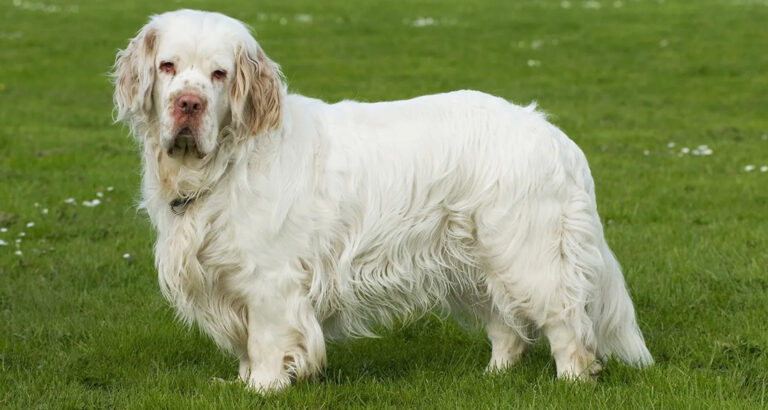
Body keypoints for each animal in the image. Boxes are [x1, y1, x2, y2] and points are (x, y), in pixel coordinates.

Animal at [112, 8, 656, 394]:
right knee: (507, 329)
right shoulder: (228, 278)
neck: (226, 162)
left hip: (529, 255)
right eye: (168, 67)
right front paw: (242, 383)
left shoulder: (270, 280)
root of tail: (554, 134)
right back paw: (492, 378)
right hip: (474, 262)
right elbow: (247, 346)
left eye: (219, 74)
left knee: (567, 325)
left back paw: (572, 381)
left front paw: (263, 388)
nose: (188, 104)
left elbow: (266, 341)